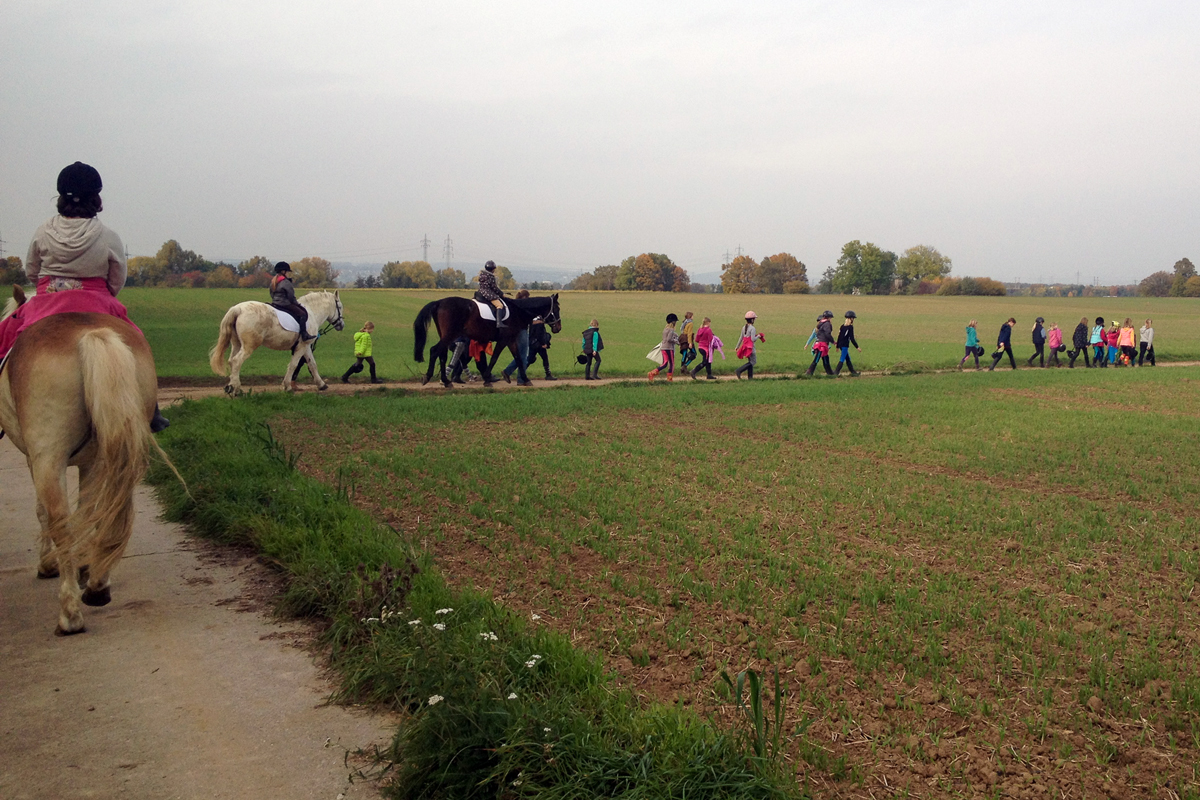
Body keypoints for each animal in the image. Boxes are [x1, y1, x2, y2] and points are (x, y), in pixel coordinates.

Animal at [0, 292, 162, 633]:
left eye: (14, 317)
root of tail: (91, 334)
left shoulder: (35, 459)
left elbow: (43, 512)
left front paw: (48, 564)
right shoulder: (91, 462)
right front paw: (85, 565)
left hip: (49, 456)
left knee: (62, 521)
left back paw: (70, 612)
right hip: (112, 452)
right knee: (104, 508)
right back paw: (97, 584)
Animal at [207, 292, 343, 395]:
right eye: (340, 307)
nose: (341, 325)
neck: (312, 312)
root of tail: (238, 309)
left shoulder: (306, 346)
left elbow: (312, 364)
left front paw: (321, 384)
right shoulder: (302, 346)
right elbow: (293, 365)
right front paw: (287, 386)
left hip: (237, 344)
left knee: (231, 361)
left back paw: (230, 387)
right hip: (249, 346)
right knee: (236, 361)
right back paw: (236, 389)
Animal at [412, 293, 561, 388]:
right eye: (557, 308)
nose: (558, 327)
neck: (517, 311)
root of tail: (439, 303)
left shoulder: (511, 340)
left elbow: (518, 358)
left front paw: (525, 379)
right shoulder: (503, 340)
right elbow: (494, 358)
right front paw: (487, 379)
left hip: (446, 336)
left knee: (442, 355)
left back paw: (446, 381)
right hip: (450, 335)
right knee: (434, 351)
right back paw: (430, 377)